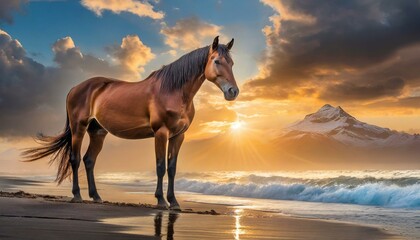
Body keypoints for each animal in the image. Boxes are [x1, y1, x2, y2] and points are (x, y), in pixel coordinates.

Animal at [23, 36, 238, 210]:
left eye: (232, 63)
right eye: (217, 61)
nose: (233, 92)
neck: (173, 91)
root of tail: (75, 88)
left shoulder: (178, 135)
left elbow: (172, 168)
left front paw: (174, 202)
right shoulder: (161, 133)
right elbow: (160, 166)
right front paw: (161, 201)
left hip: (98, 132)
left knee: (89, 160)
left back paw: (96, 196)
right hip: (79, 128)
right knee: (75, 160)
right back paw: (77, 196)